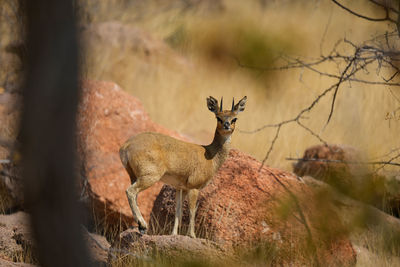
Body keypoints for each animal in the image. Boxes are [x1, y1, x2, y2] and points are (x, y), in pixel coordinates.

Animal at [119, 95, 245, 238]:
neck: (210, 156)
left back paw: (141, 227)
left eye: (234, 118)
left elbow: (178, 211)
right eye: (218, 117)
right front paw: (192, 235)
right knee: (130, 191)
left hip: (134, 176)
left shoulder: (181, 188)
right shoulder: (194, 188)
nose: (227, 125)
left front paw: (174, 234)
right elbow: (192, 211)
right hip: (149, 177)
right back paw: (142, 225)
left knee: (134, 195)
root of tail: (126, 146)